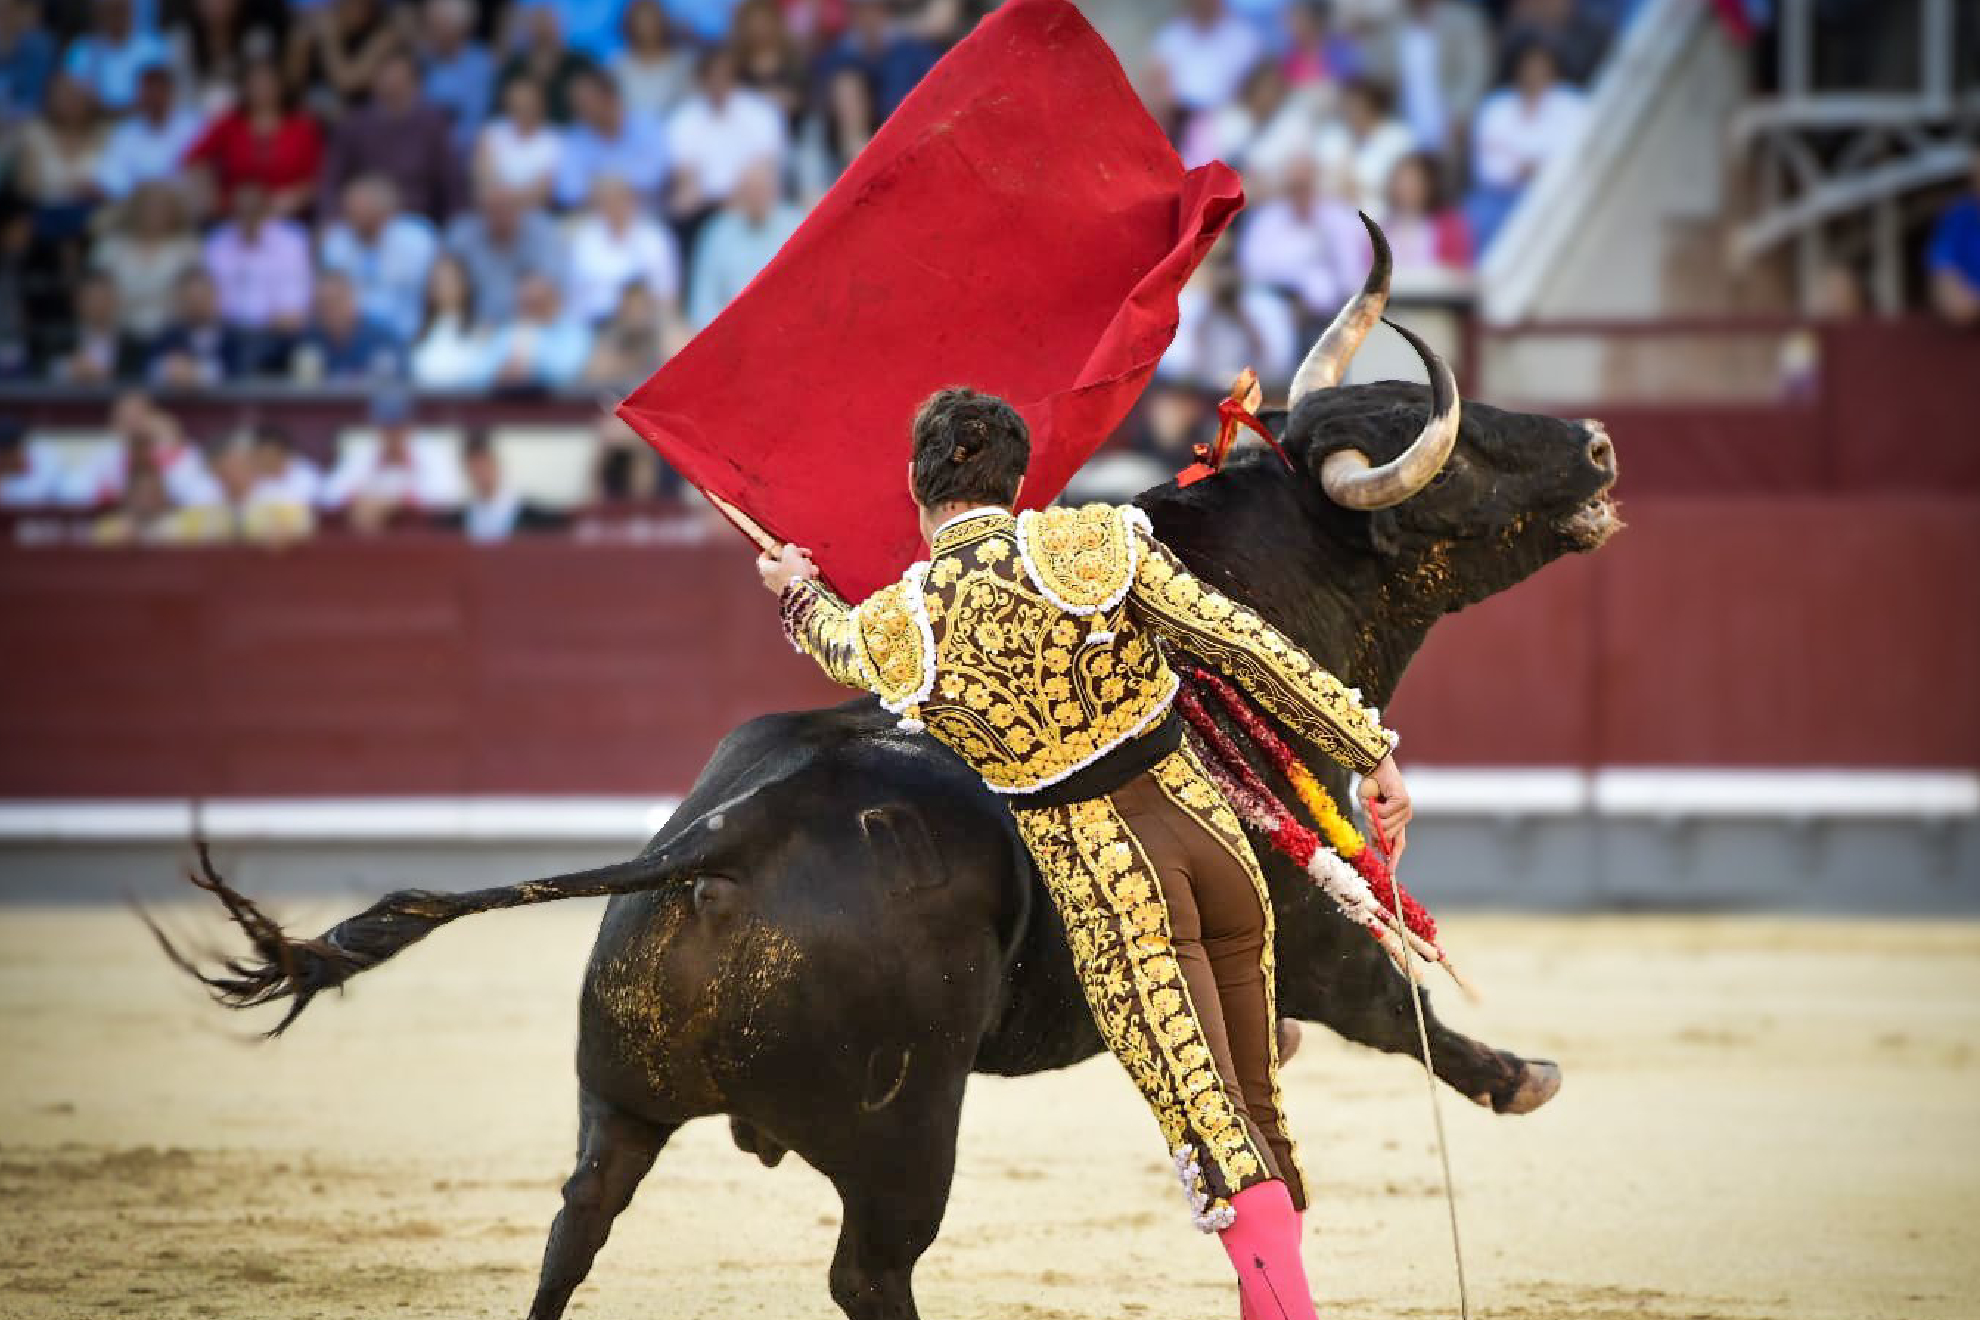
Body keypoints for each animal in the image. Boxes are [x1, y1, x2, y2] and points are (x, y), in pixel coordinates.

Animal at [162, 376, 1623, 1314]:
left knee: (573, 1229)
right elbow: (1384, 1000)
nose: (1602, 448)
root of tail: (726, 841)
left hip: (614, 1099)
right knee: (871, 1271)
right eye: (1457, 449)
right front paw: (1524, 1076)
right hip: (907, 1136)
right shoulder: (1290, 929)